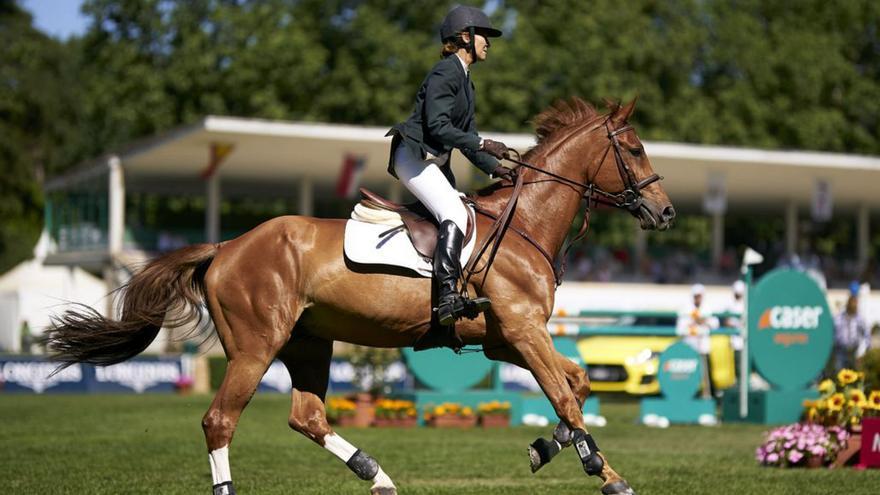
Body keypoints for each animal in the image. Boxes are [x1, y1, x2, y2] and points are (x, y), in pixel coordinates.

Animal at [44, 98, 672, 495]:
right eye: (634, 149)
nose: (665, 213)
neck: (524, 225)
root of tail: (227, 245)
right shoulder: (522, 329)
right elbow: (565, 395)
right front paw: (606, 473)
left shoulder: (505, 338)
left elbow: (578, 384)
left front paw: (548, 447)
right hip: (256, 345)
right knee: (220, 420)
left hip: (307, 343)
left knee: (306, 416)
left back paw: (379, 476)